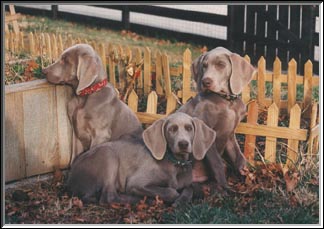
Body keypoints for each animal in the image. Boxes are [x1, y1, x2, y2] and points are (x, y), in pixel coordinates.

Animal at [66, 112, 216, 206]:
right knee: (108, 197)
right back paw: (143, 200)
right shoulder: (136, 182)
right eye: (172, 129)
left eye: (189, 128)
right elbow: (170, 191)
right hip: (108, 154)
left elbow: (190, 189)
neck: (176, 164)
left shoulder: (187, 183)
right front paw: (174, 197)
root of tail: (71, 180)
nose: (183, 144)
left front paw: (182, 200)